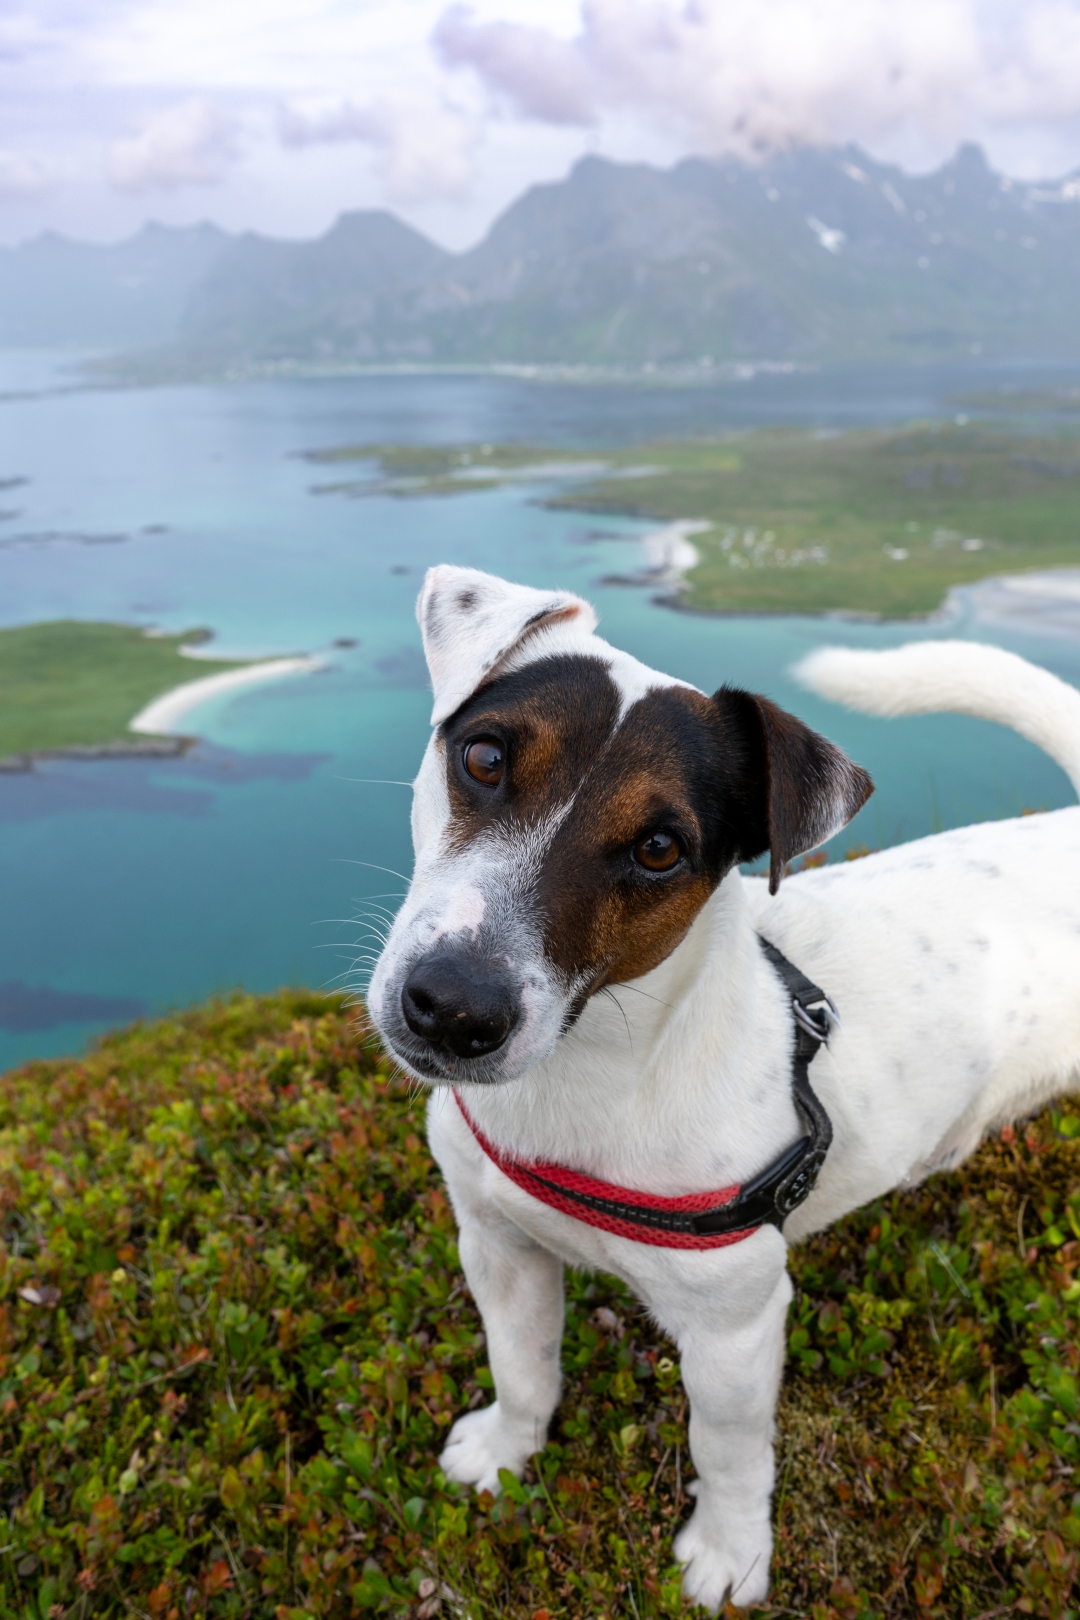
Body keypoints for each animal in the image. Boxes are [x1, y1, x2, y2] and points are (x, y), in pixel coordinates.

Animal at [365, 567, 1080, 1607]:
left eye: (662, 848)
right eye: (485, 757)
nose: (453, 1010)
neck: (588, 1077)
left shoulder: (736, 1331)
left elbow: (731, 1451)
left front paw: (731, 1554)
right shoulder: (500, 1247)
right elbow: (523, 1366)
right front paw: (507, 1450)